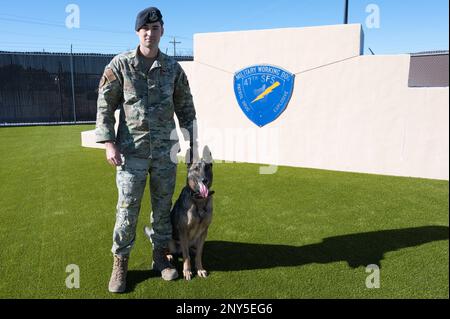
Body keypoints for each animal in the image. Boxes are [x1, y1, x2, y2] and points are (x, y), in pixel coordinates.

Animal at [145, 146, 214, 282]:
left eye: (207, 168)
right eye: (196, 169)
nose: (204, 180)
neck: (199, 200)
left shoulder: (204, 232)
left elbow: (199, 254)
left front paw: (199, 269)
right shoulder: (183, 231)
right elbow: (186, 256)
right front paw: (187, 271)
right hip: (169, 238)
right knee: (166, 249)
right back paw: (168, 256)